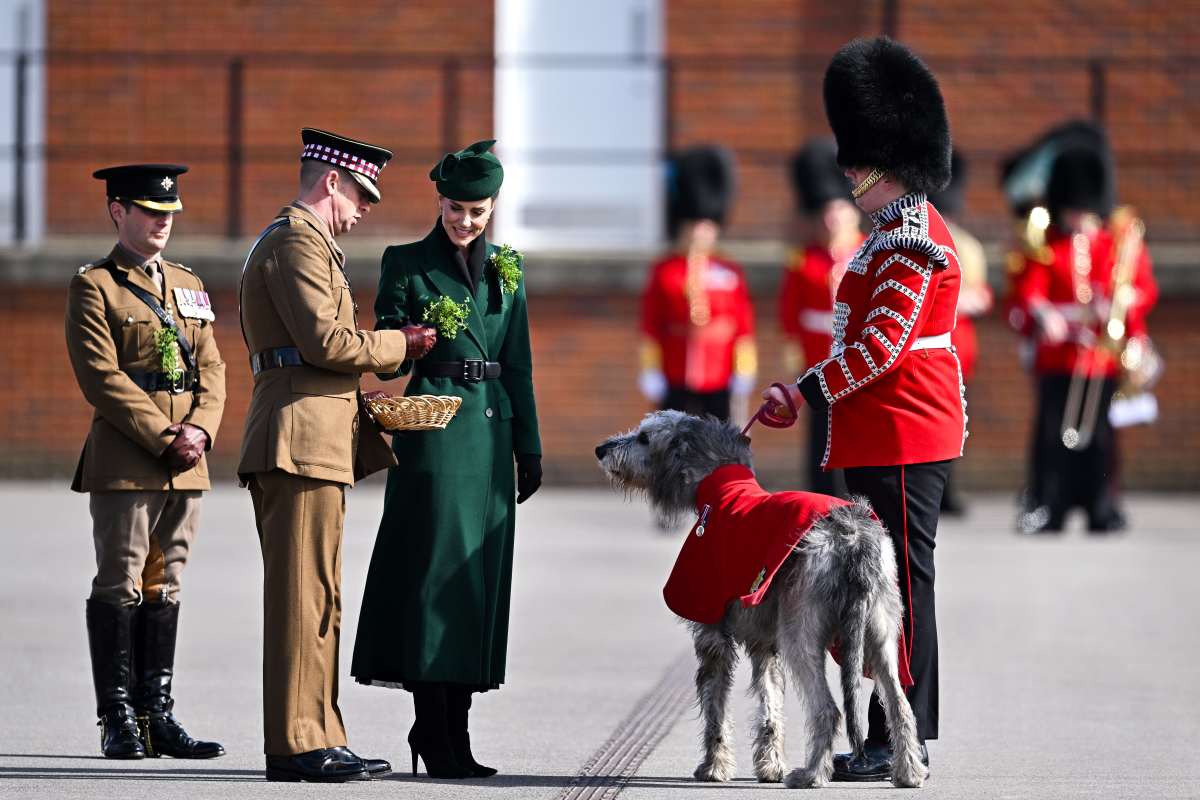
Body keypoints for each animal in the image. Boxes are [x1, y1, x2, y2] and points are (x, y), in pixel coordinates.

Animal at [595, 410, 926, 789]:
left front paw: (714, 767)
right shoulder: (765, 643)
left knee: (827, 709)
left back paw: (811, 774)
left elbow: (715, 707)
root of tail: (853, 536)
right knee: (900, 704)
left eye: (645, 437)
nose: (601, 450)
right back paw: (909, 772)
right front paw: (770, 766)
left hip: (801, 633)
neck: (721, 489)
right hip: (882, 632)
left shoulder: (712, 633)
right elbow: (770, 705)